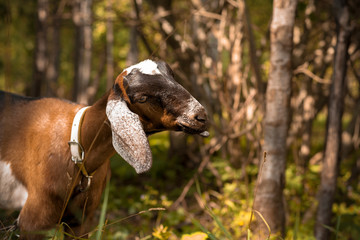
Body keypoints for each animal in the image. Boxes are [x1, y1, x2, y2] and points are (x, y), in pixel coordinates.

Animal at [0, 59, 208, 238]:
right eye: (142, 98)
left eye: (172, 76)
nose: (200, 116)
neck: (77, 145)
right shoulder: (34, 222)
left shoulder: (80, 221)